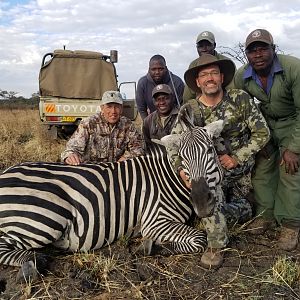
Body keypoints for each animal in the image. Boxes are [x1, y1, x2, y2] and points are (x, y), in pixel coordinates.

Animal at [0, 119, 224, 282]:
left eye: (210, 150)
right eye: (181, 157)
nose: (202, 203)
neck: (167, 179)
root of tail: (6, 172)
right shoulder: (154, 221)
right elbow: (199, 239)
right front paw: (152, 248)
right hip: (44, 219)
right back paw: (34, 263)